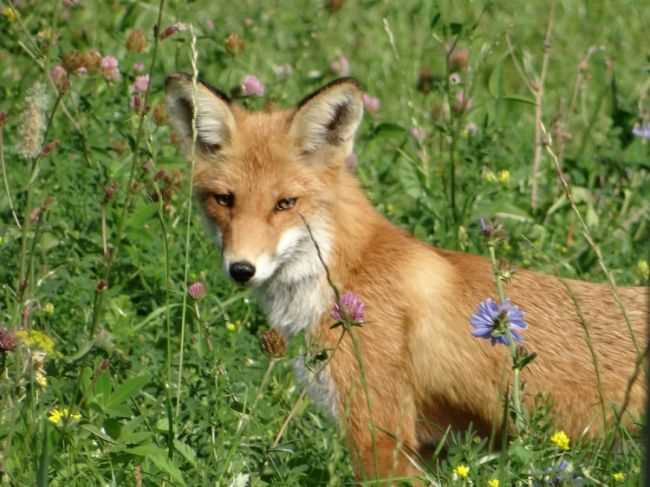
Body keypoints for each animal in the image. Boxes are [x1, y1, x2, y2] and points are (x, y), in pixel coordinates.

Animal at [165, 73, 644, 484]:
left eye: (285, 203)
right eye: (224, 200)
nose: (241, 269)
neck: (347, 274)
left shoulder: (379, 436)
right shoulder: (430, 449)